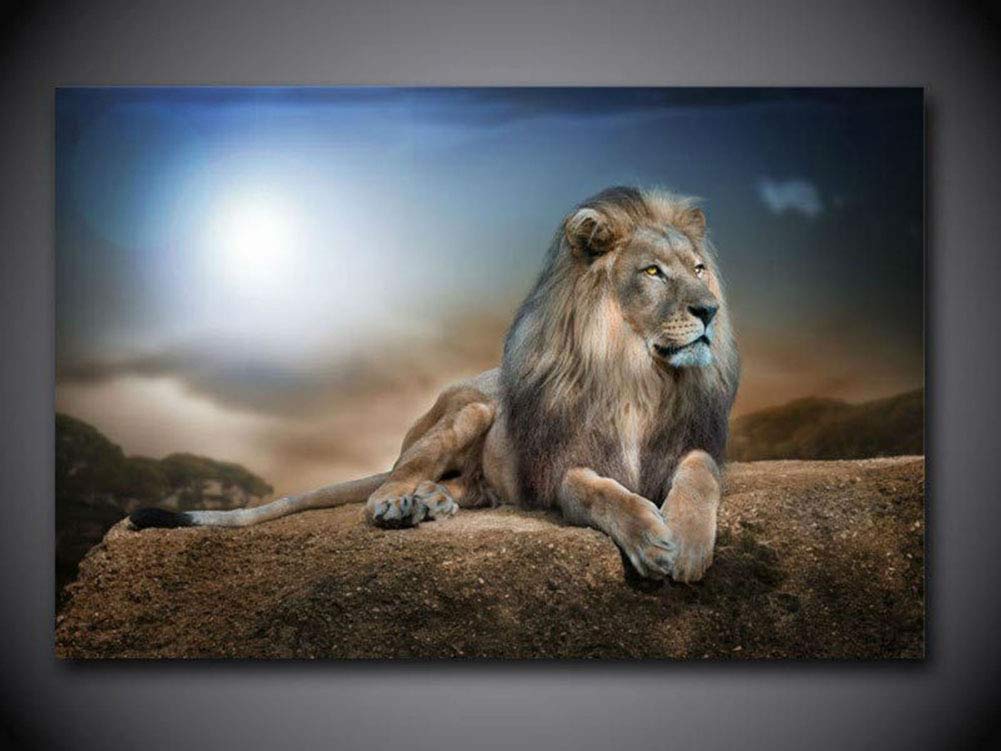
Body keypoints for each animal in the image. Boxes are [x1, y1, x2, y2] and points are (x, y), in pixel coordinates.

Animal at [129, 186, 739, 582]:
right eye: (652, 272)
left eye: (699, 269)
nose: (709, 311)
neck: (638, 374)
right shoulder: (559, 469)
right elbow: (599, 491)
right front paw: (651, 539)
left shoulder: (692, 446)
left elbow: (699, 471)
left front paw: (686, 541)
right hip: (471, 411)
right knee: (390, 479)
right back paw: (400, 504)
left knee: (461, 487)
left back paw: (433, 501)